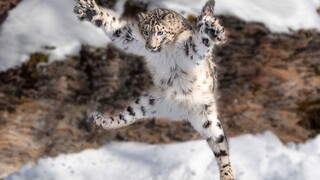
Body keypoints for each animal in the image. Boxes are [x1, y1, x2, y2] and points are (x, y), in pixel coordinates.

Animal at [75, 0, 235, 179]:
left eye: (160, 32)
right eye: (146, 31)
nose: (150, 47)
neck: (164, 51)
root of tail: (181, 111)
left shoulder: (189, 50)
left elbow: (199, 43)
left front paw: (212, 31)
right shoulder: (131, 37)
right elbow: (115, 28)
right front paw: (89, 10)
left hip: (208, 118)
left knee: (221, 149)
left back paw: (227, 175)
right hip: (147, 102)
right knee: (125, 117)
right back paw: (101, 120)